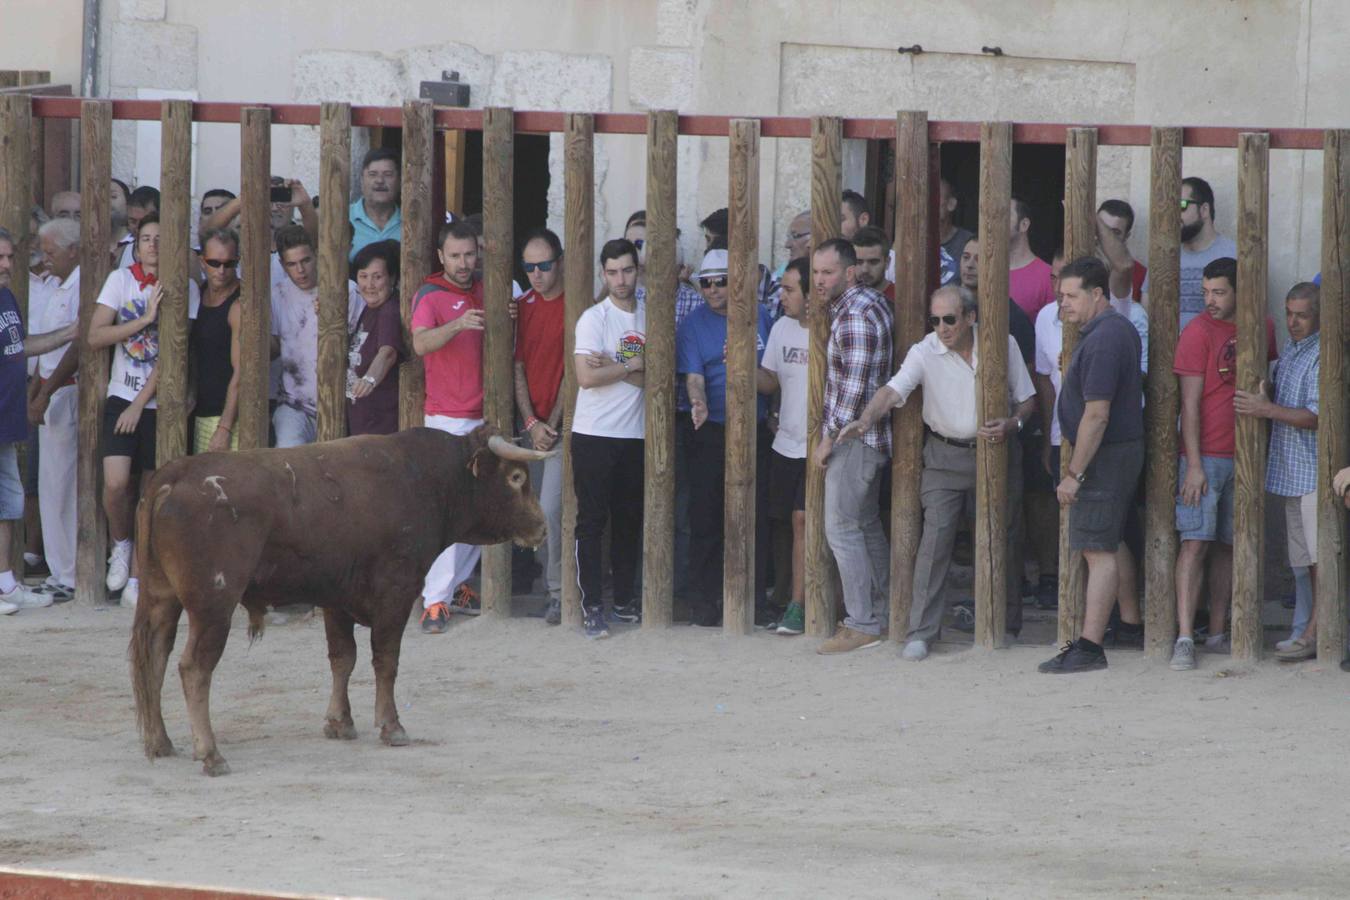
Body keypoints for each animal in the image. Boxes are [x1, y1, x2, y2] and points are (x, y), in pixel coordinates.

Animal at [127, 429, 548, 777]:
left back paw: (160, 743)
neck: (425, 478)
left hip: (162, 598)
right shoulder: (396, 592)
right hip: (214, 606)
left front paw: (339, 723)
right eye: (516, 477)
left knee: (155, 656)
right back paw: (211, 755)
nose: (542, 528)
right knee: (194, 668)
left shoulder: (336, 599)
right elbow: (386, 661)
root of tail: (173, 476)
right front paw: (391, 726)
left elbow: (343, 658)